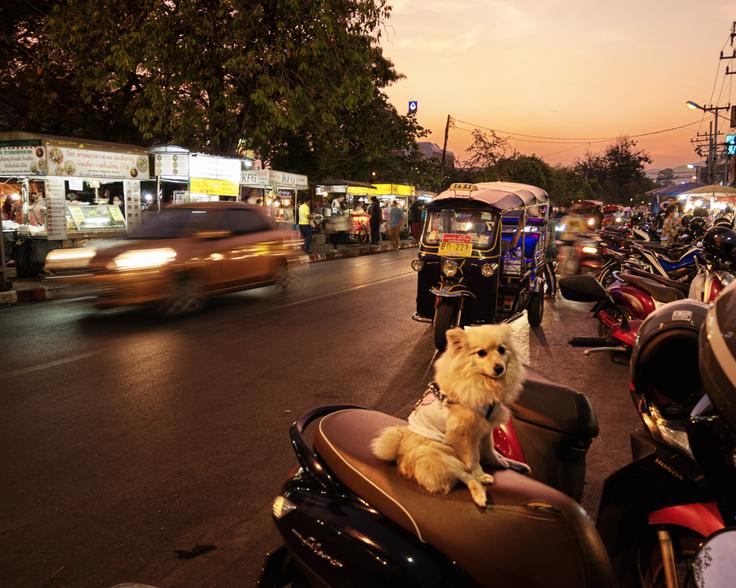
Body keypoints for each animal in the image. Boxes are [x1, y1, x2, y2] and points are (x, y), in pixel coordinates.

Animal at [370, 324, 528, 508]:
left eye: (502, 350)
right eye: (481, 353)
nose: (499, 368)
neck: (483, 383)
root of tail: (400, 451)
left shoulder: (486, 427)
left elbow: (489, 449)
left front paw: (497, 461)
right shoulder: (466, 435)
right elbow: (474, 460)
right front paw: (480, 474)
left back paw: (514, 464)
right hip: (441, 455)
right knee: (465, 476)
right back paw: (480, 493)